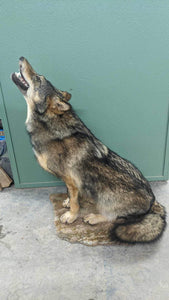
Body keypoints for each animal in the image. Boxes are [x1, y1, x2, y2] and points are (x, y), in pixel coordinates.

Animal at [10, 57, 166, 243]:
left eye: (38, 78)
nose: (21, 58)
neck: (50, 125)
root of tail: (153, 202)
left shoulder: (70, 179)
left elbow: (75, 201)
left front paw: (71, 216)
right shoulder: (71, 181)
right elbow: (71, 194)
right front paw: (68, 202)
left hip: (106, 196)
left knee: (115, 217)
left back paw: (94, 217)